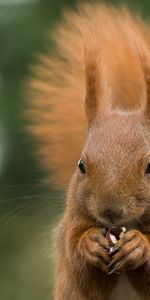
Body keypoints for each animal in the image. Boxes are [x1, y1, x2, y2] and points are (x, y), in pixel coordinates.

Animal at [26, 2, 150, 300]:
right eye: (81, 164)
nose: (110, 211)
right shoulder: (73, 219)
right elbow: (79, 268)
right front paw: (88, 244)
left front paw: (139, 246)